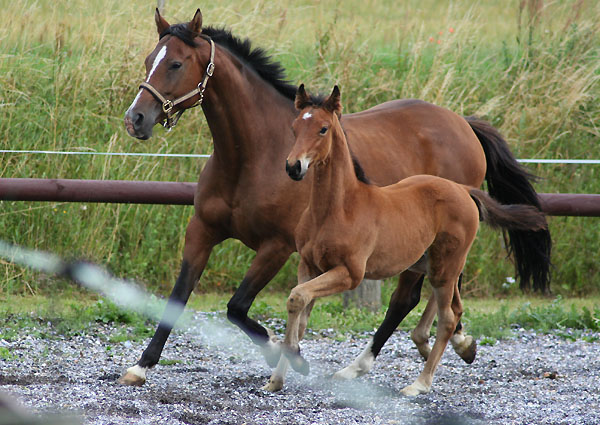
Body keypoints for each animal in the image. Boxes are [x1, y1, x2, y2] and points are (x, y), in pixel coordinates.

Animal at [264, 86, 552, 394]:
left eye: (322, 128)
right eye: (295, 127)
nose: (293, 166)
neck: (339, 208)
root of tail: (462, 189)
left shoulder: (349, 274)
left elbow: (297, 297)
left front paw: (288, 366)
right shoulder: (308, 265)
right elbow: (299, 311)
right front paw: (278, 377)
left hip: (444, 267)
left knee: (445, 317)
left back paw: (419, 384)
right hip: (430, 265)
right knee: (451, 308)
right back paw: (458, 348)